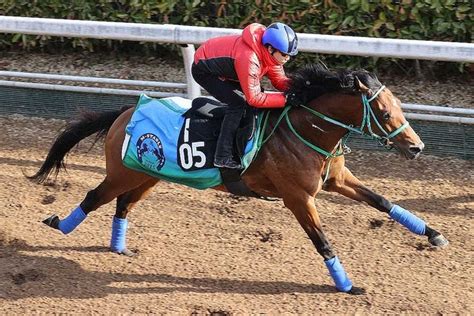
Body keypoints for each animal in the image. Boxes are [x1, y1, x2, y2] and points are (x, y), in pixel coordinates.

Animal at [28, 64, 448, 294]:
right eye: (383, 111)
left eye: (398, 106)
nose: (416, 148)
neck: (306, 130)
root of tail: (124, 112)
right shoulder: (299, 198)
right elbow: (323, 242)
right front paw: (346, 285)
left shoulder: (335, 181)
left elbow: (383, 201)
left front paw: (433, 234)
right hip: (123, 173)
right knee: (93, 196)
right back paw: (58, 224)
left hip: (150, 175)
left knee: (122, 204)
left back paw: (119, 247)